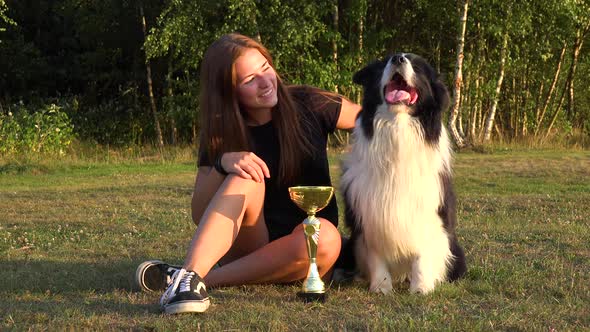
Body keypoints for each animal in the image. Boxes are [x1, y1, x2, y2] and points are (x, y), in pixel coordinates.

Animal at [342, 53, 468, 294]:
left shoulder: (426, 209)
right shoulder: (371, 211)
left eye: (417, 66)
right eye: (383, 63)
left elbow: (421, 252)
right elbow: (376, 253)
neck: (397, 126)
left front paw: (420, 288)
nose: (397, 58)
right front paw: (381, 287)